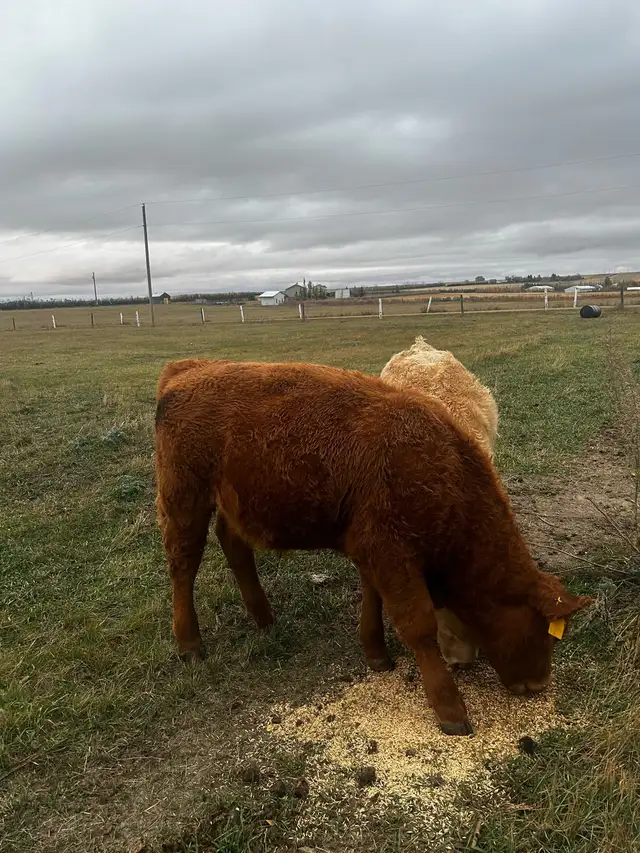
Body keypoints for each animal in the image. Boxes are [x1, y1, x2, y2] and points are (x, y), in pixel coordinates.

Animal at [154, 358, 592, 736]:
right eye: (544, 629)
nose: (539, 683)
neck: (442, 469)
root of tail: (188, 369)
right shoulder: (391, 554)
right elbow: (419, 625)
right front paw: (450, 708)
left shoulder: (374, 549)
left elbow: (373, 599)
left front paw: (376, 653)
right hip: (185, 498)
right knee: (183, 563)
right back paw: (189, 644)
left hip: (233, 503)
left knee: (234, 546)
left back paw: (264, 618)